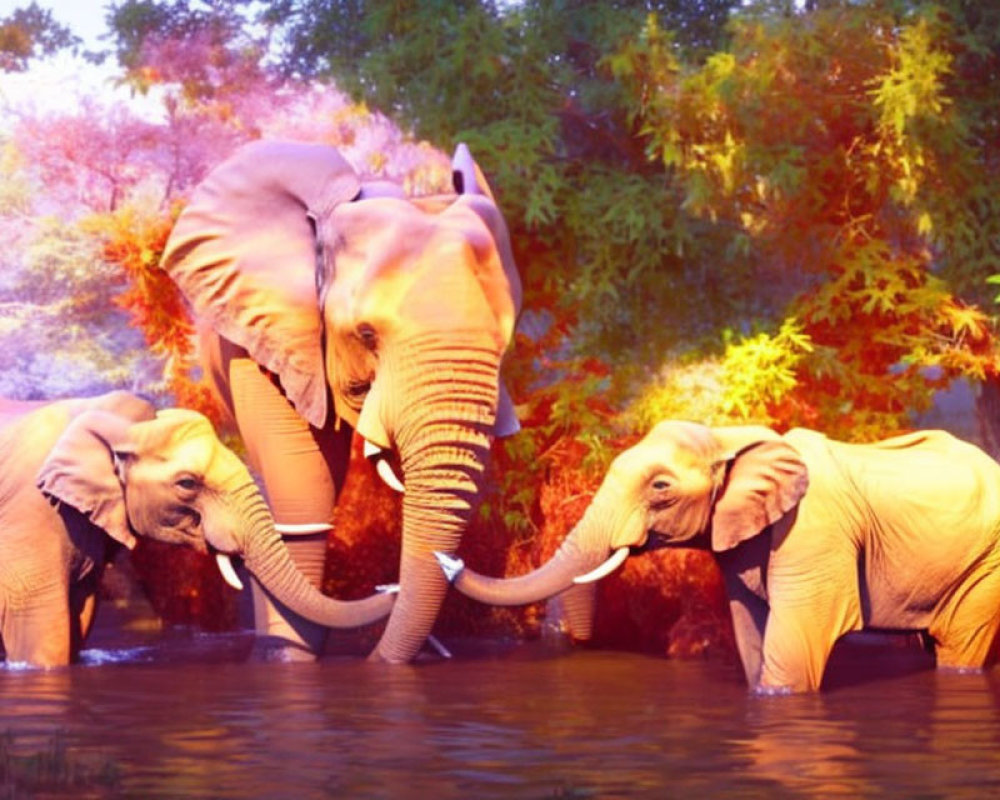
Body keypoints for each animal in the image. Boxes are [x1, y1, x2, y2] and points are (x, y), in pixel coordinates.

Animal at [160, 142, 520, 664]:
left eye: (506, 342)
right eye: (366, 335)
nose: (389, 590)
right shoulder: (268, 334)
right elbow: (303, 485)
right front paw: (287, 664)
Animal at [440, 422, 1000, 692]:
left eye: (661, 488)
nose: (449, 561)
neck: (731, 437)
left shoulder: (814, 532)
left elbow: (796, 645)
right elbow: (752, 632)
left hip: (985, 569)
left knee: (958, 646)